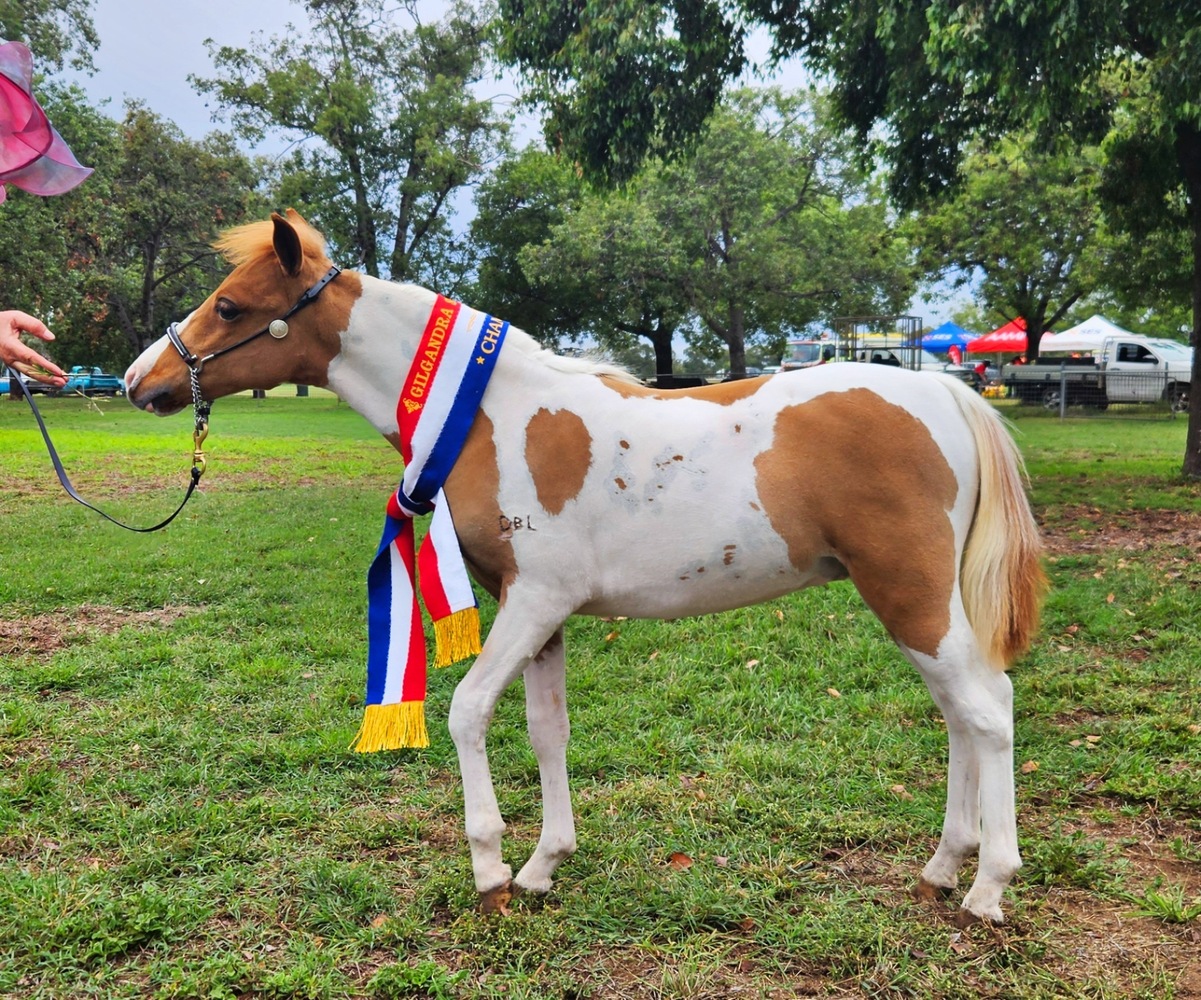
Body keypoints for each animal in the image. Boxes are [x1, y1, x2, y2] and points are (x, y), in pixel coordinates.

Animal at [125, 210, 1045, 924]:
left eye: (230, 304)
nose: (140, 380)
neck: (487, 414)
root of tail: (949, 393)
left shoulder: (533, 601)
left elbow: (466, 711)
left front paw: (490, 871)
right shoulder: (541, 616)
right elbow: (547, 729)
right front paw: (542, 865)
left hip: (909, 594)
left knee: (987, 711)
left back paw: (986, 888)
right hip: (916, 604)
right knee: (959, 716)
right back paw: (940, 869)